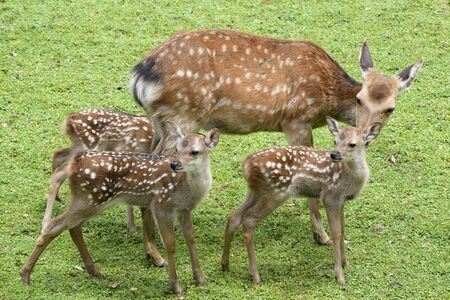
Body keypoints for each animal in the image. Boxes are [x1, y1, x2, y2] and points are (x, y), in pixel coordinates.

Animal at [22, 124, 219, 296]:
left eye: (194, 151)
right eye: (177, 149)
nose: (175, 164)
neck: (187, 190)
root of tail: (75, 163)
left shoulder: (185, 210)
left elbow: (191, 238)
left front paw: (200, 279)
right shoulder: (161, 205)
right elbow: (170, 244)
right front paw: (176, 287)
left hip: (90, 201)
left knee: (73, 227)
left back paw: (94, 271)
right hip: (88, 199)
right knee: (55, 226)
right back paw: (25, 275)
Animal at [129, 29, 422, 246]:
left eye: (390, 108)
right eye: (360, 99)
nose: (365, 135)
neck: (327, 96)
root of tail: (139, 76)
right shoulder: (297, 120)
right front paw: (322, 236)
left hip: (160, 122)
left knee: (146, 158)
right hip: (183, 115)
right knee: (158, 164)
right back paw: (156, 250)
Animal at [221, 117, 380, 284]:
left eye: (352, 144)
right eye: (335, 141)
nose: (334, 154)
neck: (349, 178)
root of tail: (246, 166)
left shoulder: (341, 201)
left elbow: (343, 230)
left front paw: (346, 264)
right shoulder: (330, 197)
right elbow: (336, 233)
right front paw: (340, 276)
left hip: (255, 191)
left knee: (234, 216)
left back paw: (225, 264)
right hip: (276, 192)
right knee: (249, 220)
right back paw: (255, 275)